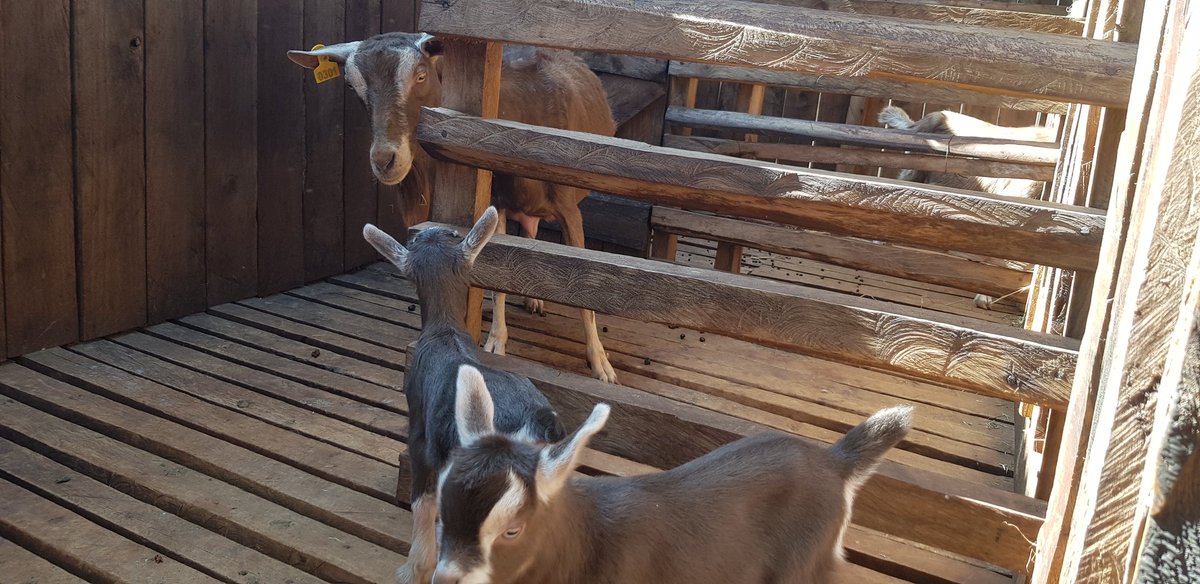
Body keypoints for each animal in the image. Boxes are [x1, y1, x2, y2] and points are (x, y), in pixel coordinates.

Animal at [289, 33, 619, 383]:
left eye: (421, 76)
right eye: (352, 86)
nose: (385, 161)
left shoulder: (570, 209)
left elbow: (585, 288)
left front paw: (601, 364)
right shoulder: (497, 201)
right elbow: (498, 280)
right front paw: (495, 343)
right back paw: (533, 299)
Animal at [362, 208, 567, 584]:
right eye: (451, 236)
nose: (432, 231)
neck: (446, 331)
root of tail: (538, 422)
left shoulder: (422, 436)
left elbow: (423, 504)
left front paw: (412, 570)